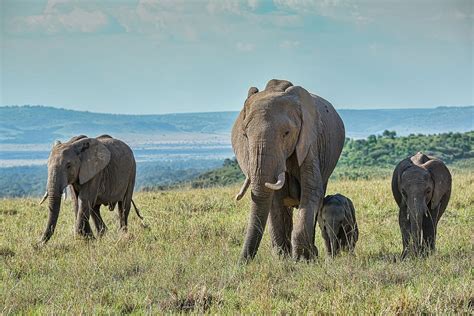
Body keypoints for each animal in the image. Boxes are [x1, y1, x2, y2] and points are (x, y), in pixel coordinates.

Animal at [231, 79, 344, 262]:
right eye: (245, 135)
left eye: (286, 133)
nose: (241, 263)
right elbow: (275, 202)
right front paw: (283, 259)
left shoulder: (309, 142)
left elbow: (312, 191)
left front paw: (302, 259)